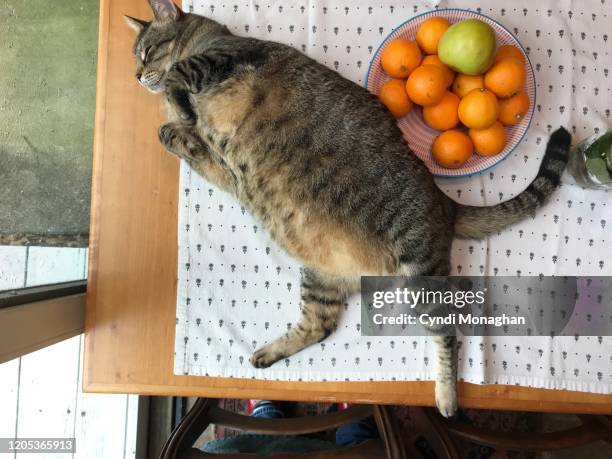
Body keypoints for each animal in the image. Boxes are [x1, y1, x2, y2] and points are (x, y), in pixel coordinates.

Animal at [126, 0, 572, 416]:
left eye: (146, 52)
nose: (136, 76)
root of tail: (444, 200)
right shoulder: (221, 165)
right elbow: (172, 133)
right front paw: (180, 125)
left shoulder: (222, 58)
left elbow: (177, 78)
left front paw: (179, 103)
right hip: (321, 275)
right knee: (320, 325)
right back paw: (267, 355)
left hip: (419, 272)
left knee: (448, 329)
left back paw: (447, 397)